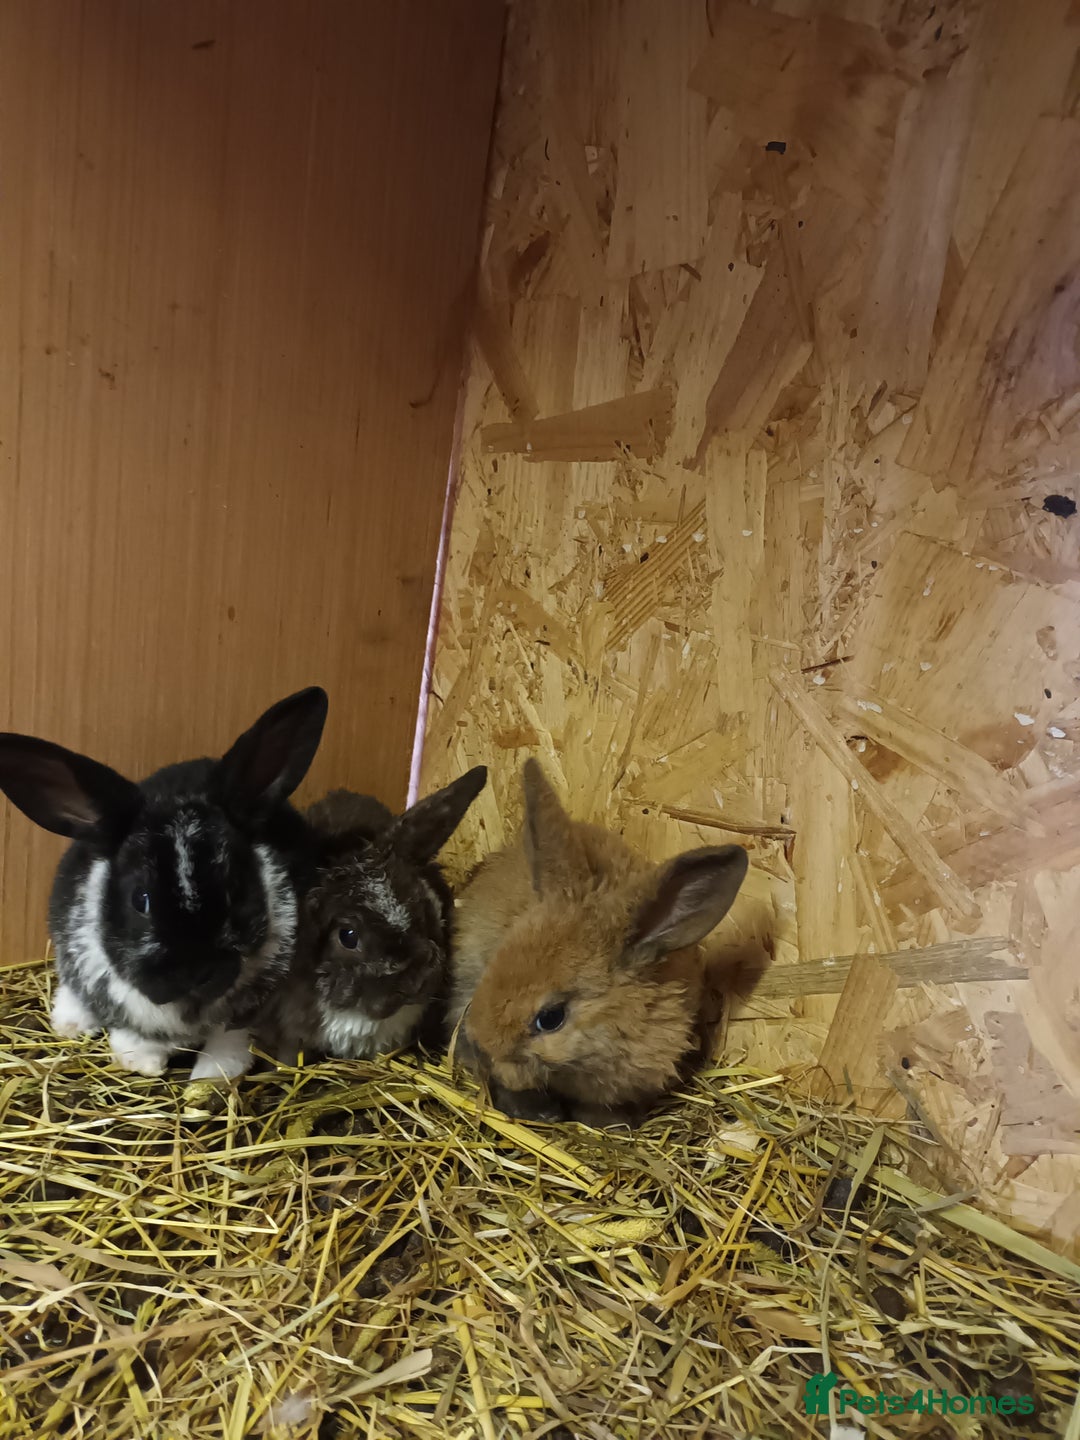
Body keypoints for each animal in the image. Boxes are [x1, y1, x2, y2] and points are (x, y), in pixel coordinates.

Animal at [0, 686, 328, 1082]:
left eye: (235, 890)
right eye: (140, 900)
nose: (195, 972)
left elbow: (230, 1041)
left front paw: (211, 1076)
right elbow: (132, 1035)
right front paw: (144, 1064)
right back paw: (70, 1023)